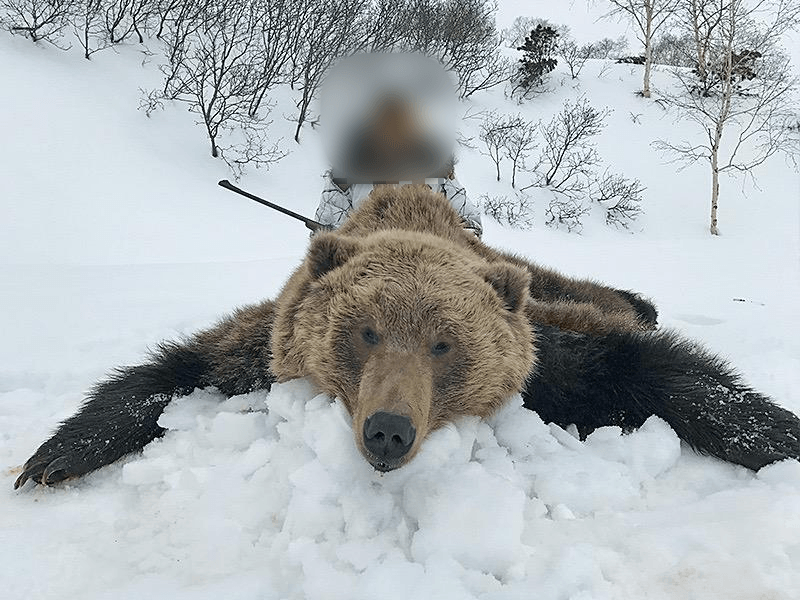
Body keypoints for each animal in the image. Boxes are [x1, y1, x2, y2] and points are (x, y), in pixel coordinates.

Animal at [14, 185, 800, 487]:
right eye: (362, 332)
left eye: (446, 344)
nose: (388, 429)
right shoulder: (258, 348)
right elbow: (176, 368)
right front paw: (53, 456)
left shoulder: (552, 362)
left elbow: (651, 372)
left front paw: (779, 435)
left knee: (590, 296)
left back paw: (642, 300)